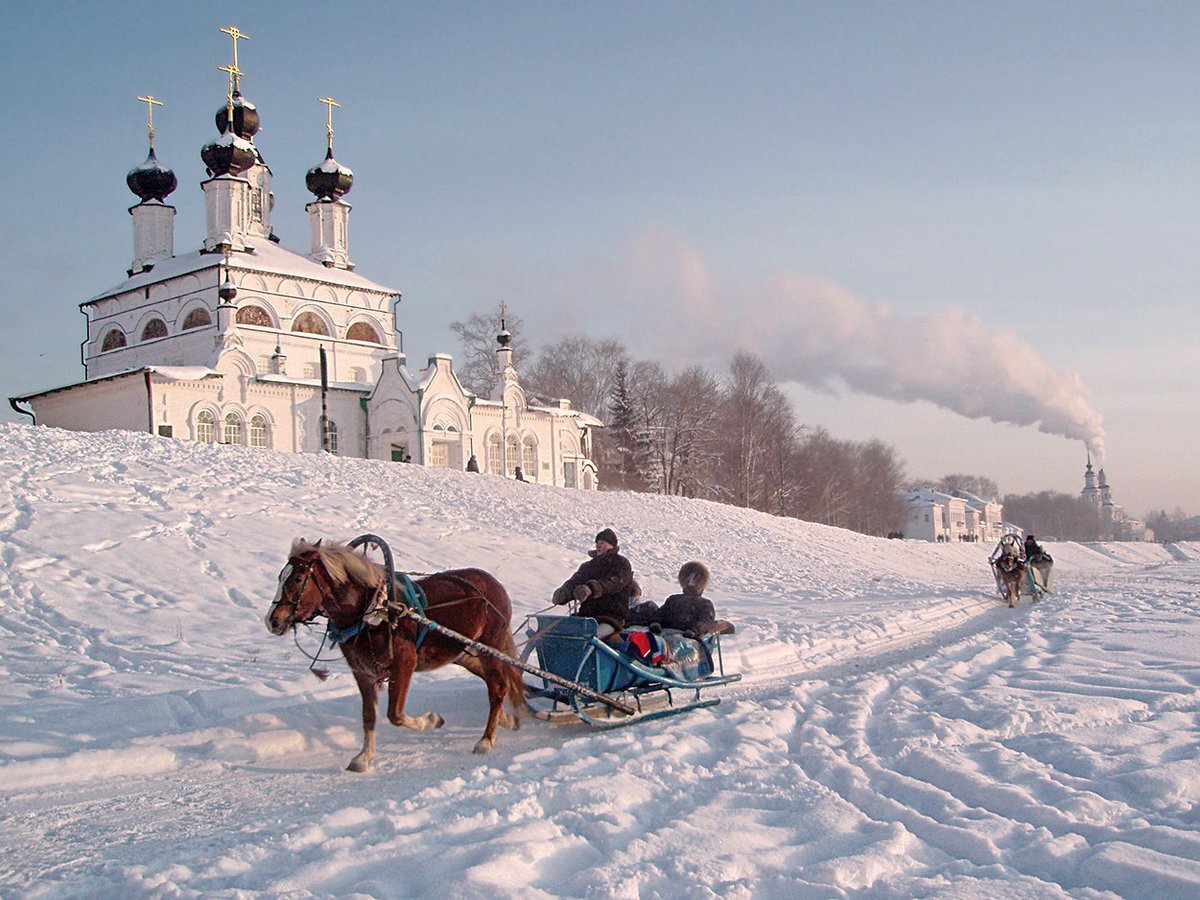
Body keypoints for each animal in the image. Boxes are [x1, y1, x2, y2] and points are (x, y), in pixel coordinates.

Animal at [265, 540, 523, 772]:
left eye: (298, 579)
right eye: (280, 577)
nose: (272, 621)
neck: (373, 610)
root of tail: (495, 584)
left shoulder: (404, 665)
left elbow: (395, 715)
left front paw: (431, 720)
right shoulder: (363, 672)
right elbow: (369, 715)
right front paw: (364, 757)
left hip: (490, 649)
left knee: (498, 688)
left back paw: (486, 740)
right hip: (464, 654)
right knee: (496, 684)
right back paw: (507, 720)